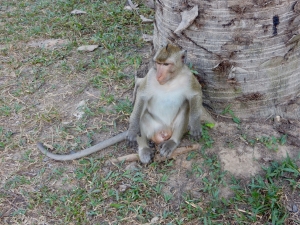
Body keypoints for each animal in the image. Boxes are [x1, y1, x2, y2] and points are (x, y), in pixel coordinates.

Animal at [36, 44, 212, 163]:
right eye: (158, 63)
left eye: (166, 64)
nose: (159, 75)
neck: (170, 81)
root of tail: (162, 133)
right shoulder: (150, 76)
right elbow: (141, 97)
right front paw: (133, 127)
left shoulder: (188, 77)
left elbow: (195, 95)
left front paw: (195, 125)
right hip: (152, 126)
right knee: (142, 115)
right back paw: (143, 148)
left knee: (186, 106)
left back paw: (172, 142)